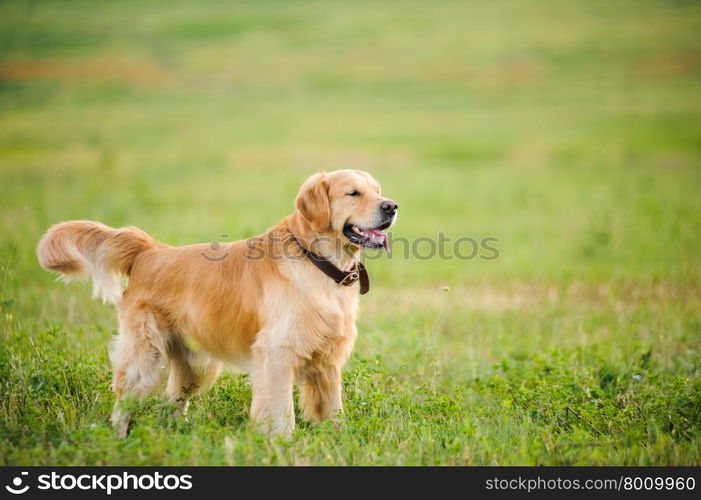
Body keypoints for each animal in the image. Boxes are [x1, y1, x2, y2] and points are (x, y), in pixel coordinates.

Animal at [38, 170, 396, 436]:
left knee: (172, 402)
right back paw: (119, 440)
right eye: (353, 193)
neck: (316, 259)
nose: (391, 206)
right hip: (146, 354)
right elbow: (280, 412)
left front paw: (338, 437)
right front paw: (281, 444)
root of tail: (150, 251)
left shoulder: (328, 358)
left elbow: (333, 408)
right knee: (124, 402)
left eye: (377, 190)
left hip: (195, 363)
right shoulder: (276, 354)